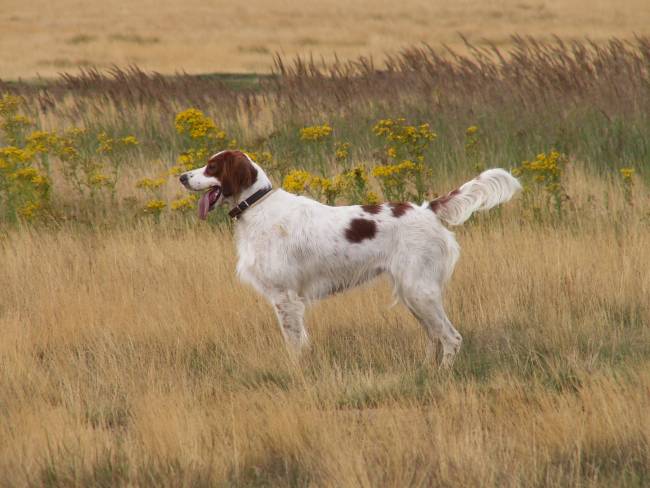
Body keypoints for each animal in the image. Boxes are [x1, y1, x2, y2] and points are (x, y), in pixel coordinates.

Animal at [178, 149, 520, 366]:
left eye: (211, 166)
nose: (182, 176)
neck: (259, 207)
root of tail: (426, 209)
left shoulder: (285, 298)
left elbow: (294, 344)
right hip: (412, 293)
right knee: (435, 337)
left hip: (420, 291)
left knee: (451, 337)